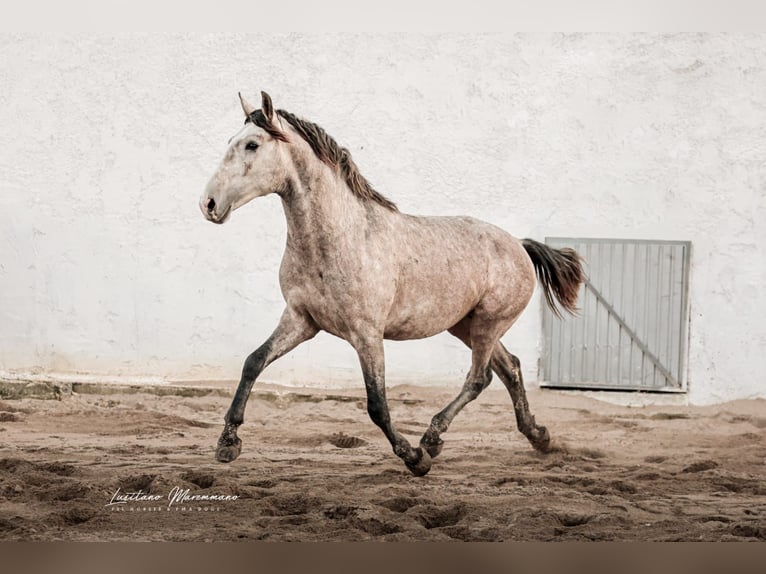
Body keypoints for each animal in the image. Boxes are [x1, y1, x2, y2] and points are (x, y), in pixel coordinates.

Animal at [199, 91, 584, 476]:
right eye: (230, 140)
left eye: (252, 144)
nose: (209, 204)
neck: (340, 238)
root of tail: (519, 244)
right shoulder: (300, 320)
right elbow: (253, 362)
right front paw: (227, 444)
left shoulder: (366, 333)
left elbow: (376, 403)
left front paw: (414, 458)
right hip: (465, 325)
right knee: (510, 368)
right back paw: (538, 437)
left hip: (489, 323)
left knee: (479, 378)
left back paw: (432, 439)